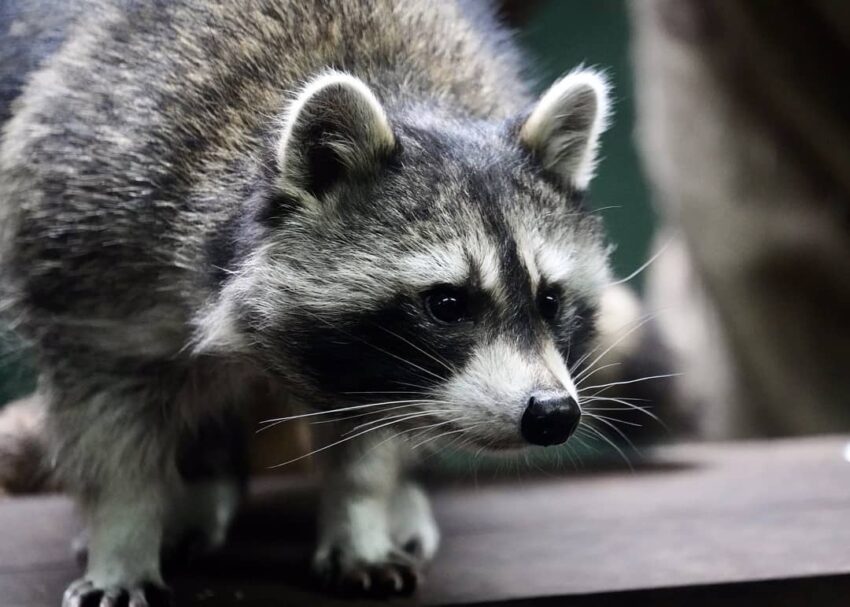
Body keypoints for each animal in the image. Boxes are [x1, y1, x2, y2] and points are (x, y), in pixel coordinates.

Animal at [0, 0, 608, 604]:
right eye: (448, 303)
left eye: (549, 299)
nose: (552, 414)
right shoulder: (90, 247)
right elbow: (108, 426)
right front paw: (122, 539)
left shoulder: (379, 371)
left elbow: (368, 440)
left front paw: (361, 519)